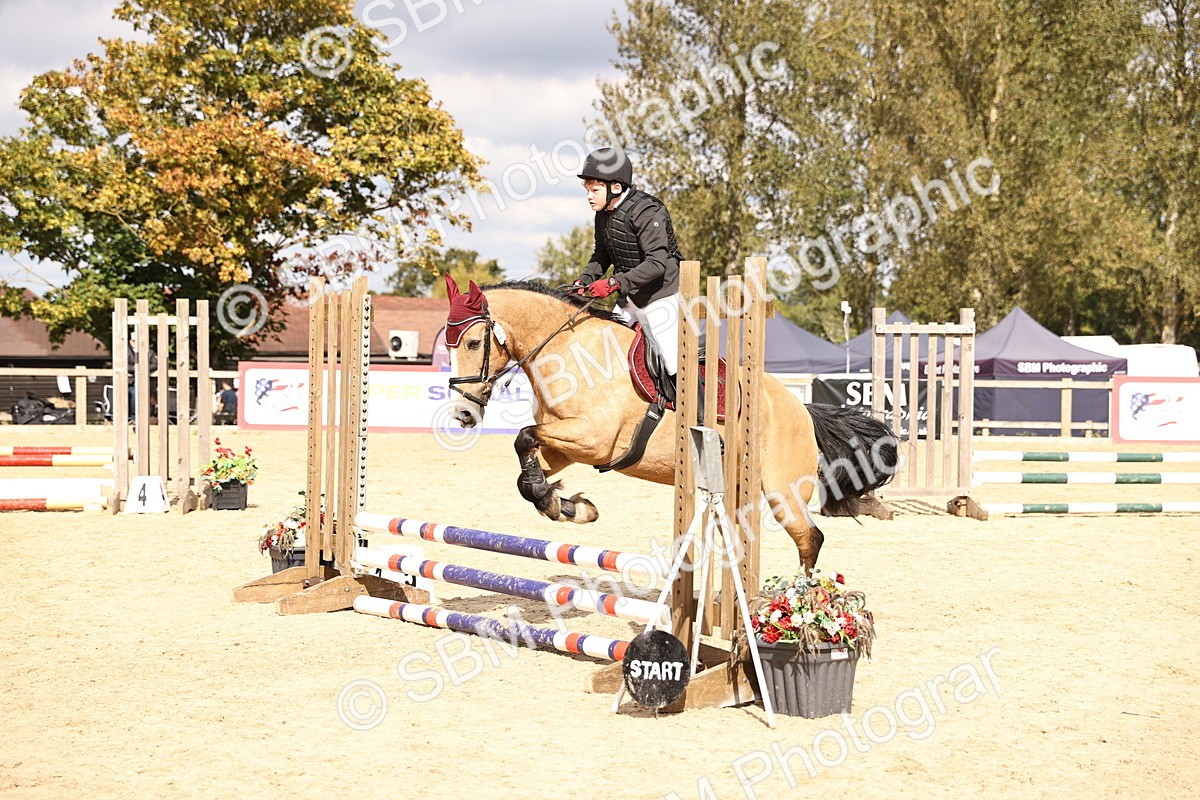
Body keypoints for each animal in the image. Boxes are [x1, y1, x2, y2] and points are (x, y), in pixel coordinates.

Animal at [443, 277, 899, 572]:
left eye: (472, 343)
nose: (463, 414)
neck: (572, 352)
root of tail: (801, 408)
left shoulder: (593, 440)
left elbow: (523, 438)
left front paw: (563, 504)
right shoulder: (563, 445)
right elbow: (526, 469)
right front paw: (568, 506)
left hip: (781, 490)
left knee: (809, 538)